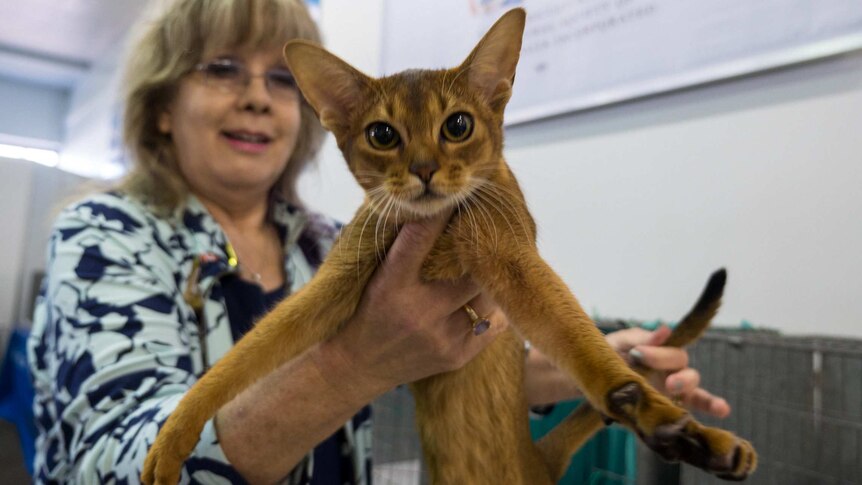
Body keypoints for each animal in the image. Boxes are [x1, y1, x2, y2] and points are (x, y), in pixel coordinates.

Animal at [145, 8, 760, 484]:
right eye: (382, 135)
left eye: (458, 125)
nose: (423, 170)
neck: (435, 229)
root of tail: (538, 460)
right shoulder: (338, 282)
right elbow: (242, 358)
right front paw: (172, 438)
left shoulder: (510, 257)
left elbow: (583, 345)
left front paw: (651, 407)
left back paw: (696, 440)